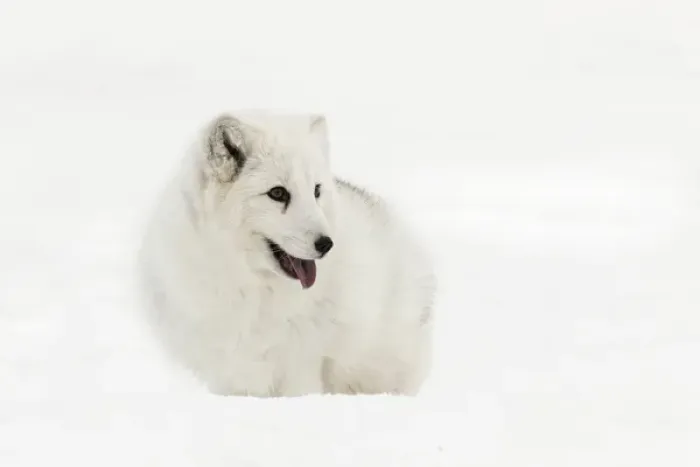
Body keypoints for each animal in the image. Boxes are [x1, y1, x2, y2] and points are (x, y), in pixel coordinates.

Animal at [137, 111, 436, 397]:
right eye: (278, 193)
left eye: (316, 190)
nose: (327, 244)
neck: (252, 287)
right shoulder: (229, 371)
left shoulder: (302, 364)